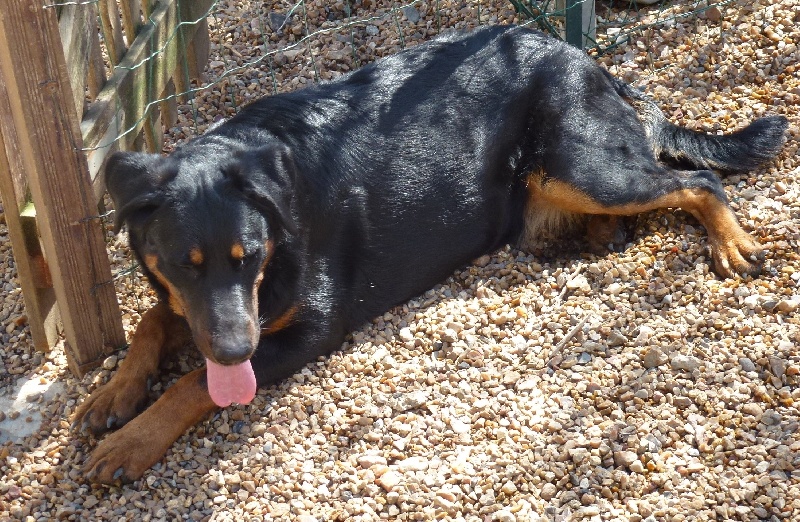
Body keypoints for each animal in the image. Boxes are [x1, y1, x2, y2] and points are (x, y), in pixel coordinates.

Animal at [73, 25, 788, 484]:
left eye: (247, 256)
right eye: (184, 263)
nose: (234, 351)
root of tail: (587, 60)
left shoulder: (308, 330)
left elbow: (192, 381)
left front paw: (132, 441)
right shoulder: (199, 306)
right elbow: (154, 321)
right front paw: (113, 394)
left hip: (580, 165)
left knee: (699, 180)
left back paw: (733, 243)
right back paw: (596, 239)